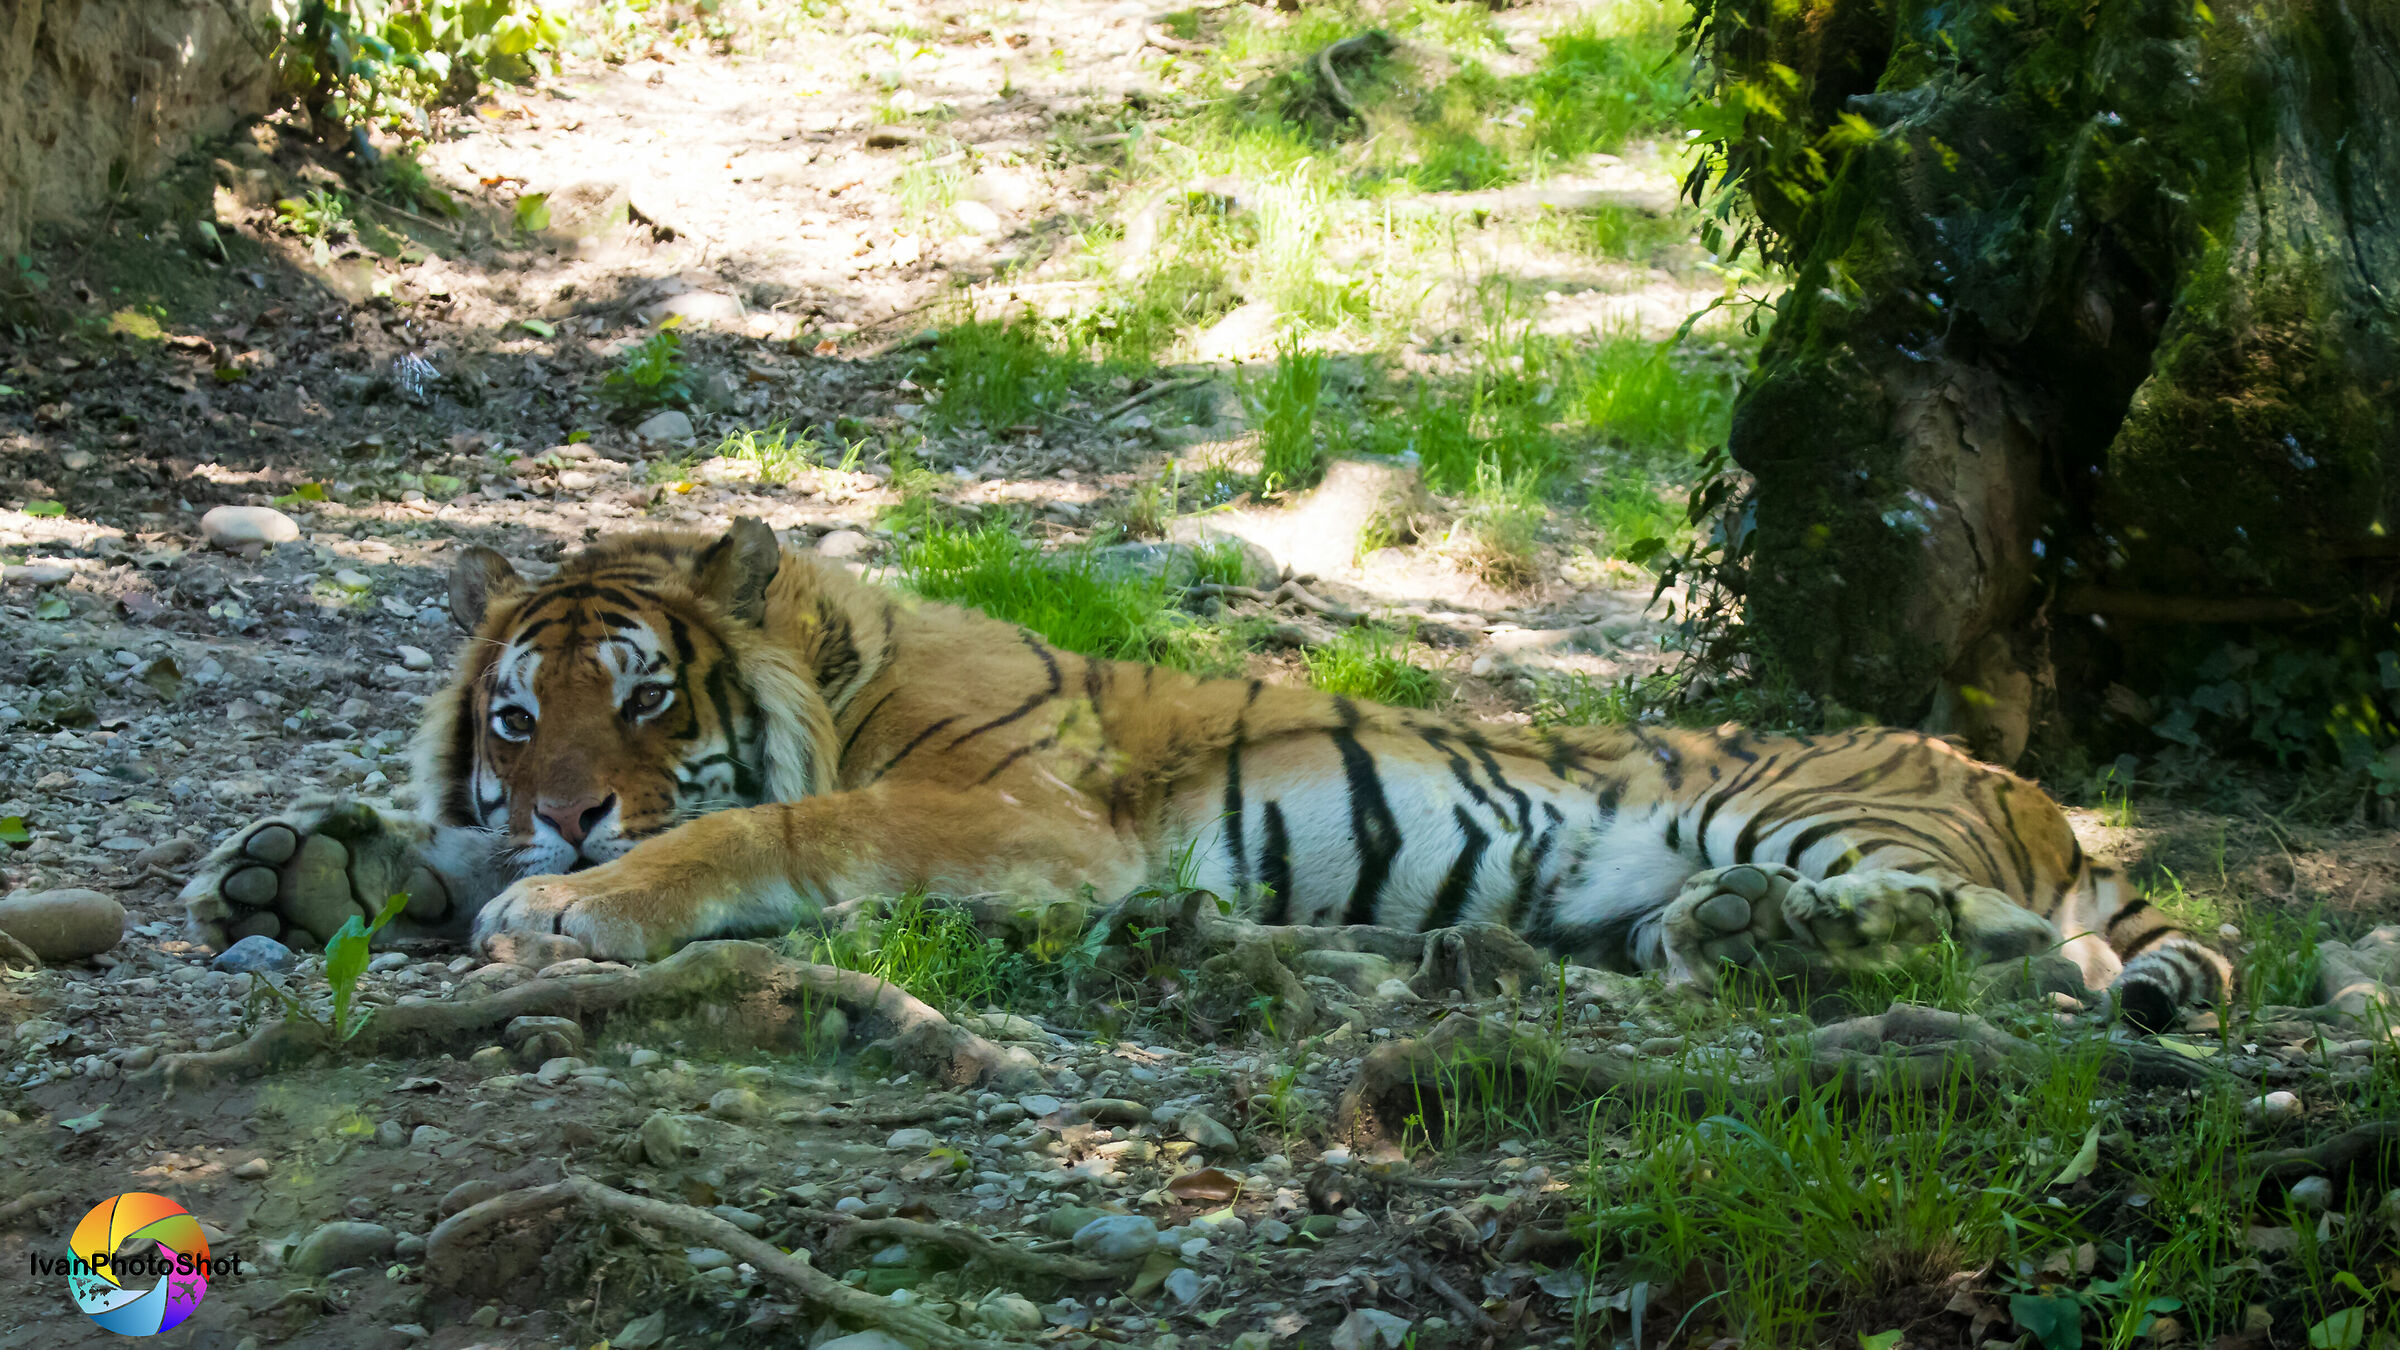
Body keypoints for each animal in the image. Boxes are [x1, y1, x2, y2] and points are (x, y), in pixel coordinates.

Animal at [180, 517, 2231, 1031]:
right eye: (517, 722)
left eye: (646, 704)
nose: (567, 805)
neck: (840, 666)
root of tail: (2031, 788)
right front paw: (291, 865)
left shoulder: (1015, 818)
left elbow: (779, 822)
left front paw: (577, 908)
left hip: (1816, 800)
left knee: (2027, 951)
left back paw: (1743, 937)